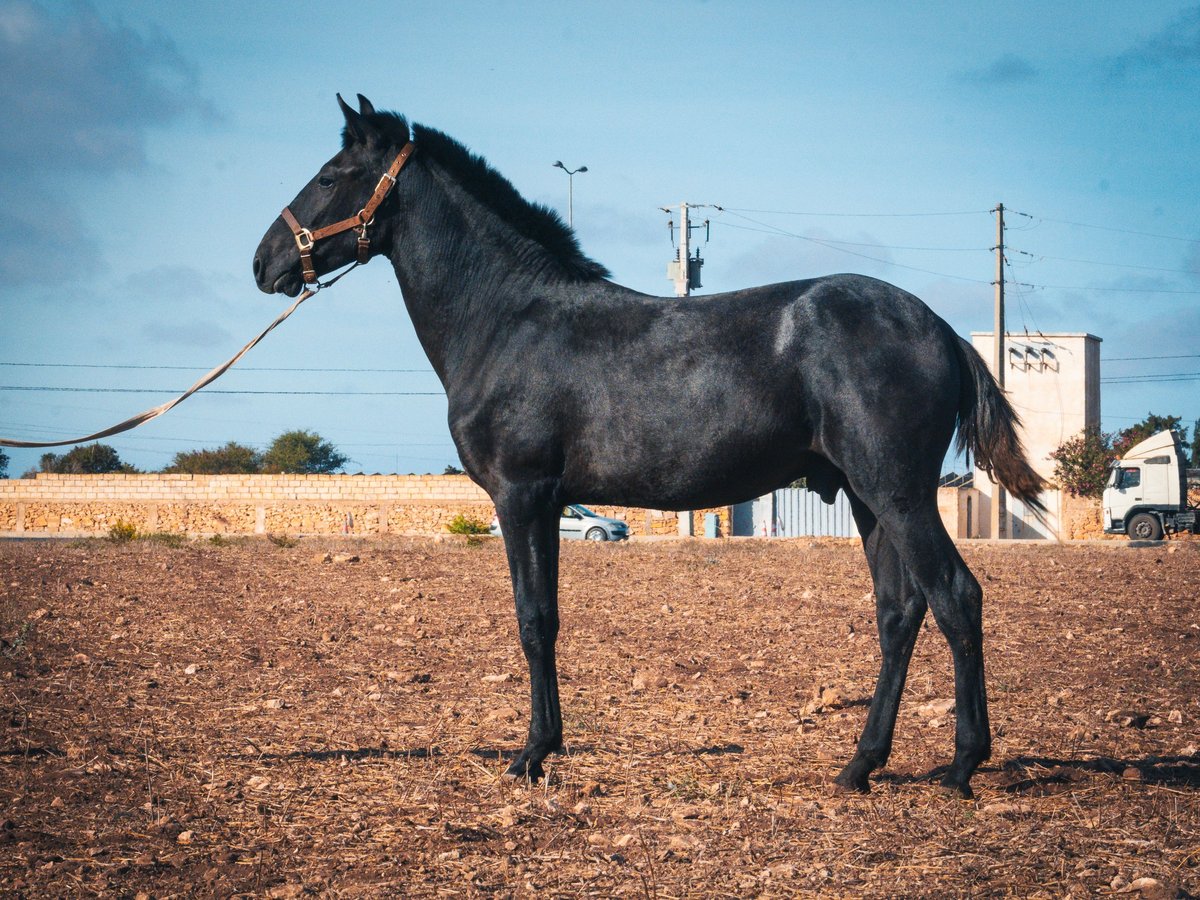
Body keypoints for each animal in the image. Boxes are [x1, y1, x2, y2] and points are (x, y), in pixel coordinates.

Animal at [253, 97, 1041, 801]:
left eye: (330, 174)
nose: (263, 264)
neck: (509, 318)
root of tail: (938, 326)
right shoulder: (548, 503)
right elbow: (546, 618)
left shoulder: (522, 495)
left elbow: (535, 621)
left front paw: (533, 755)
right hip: (866, 496)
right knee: (898, 613)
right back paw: (860, 766)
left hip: (897, 492)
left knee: (955, 596)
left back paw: (963, 765)